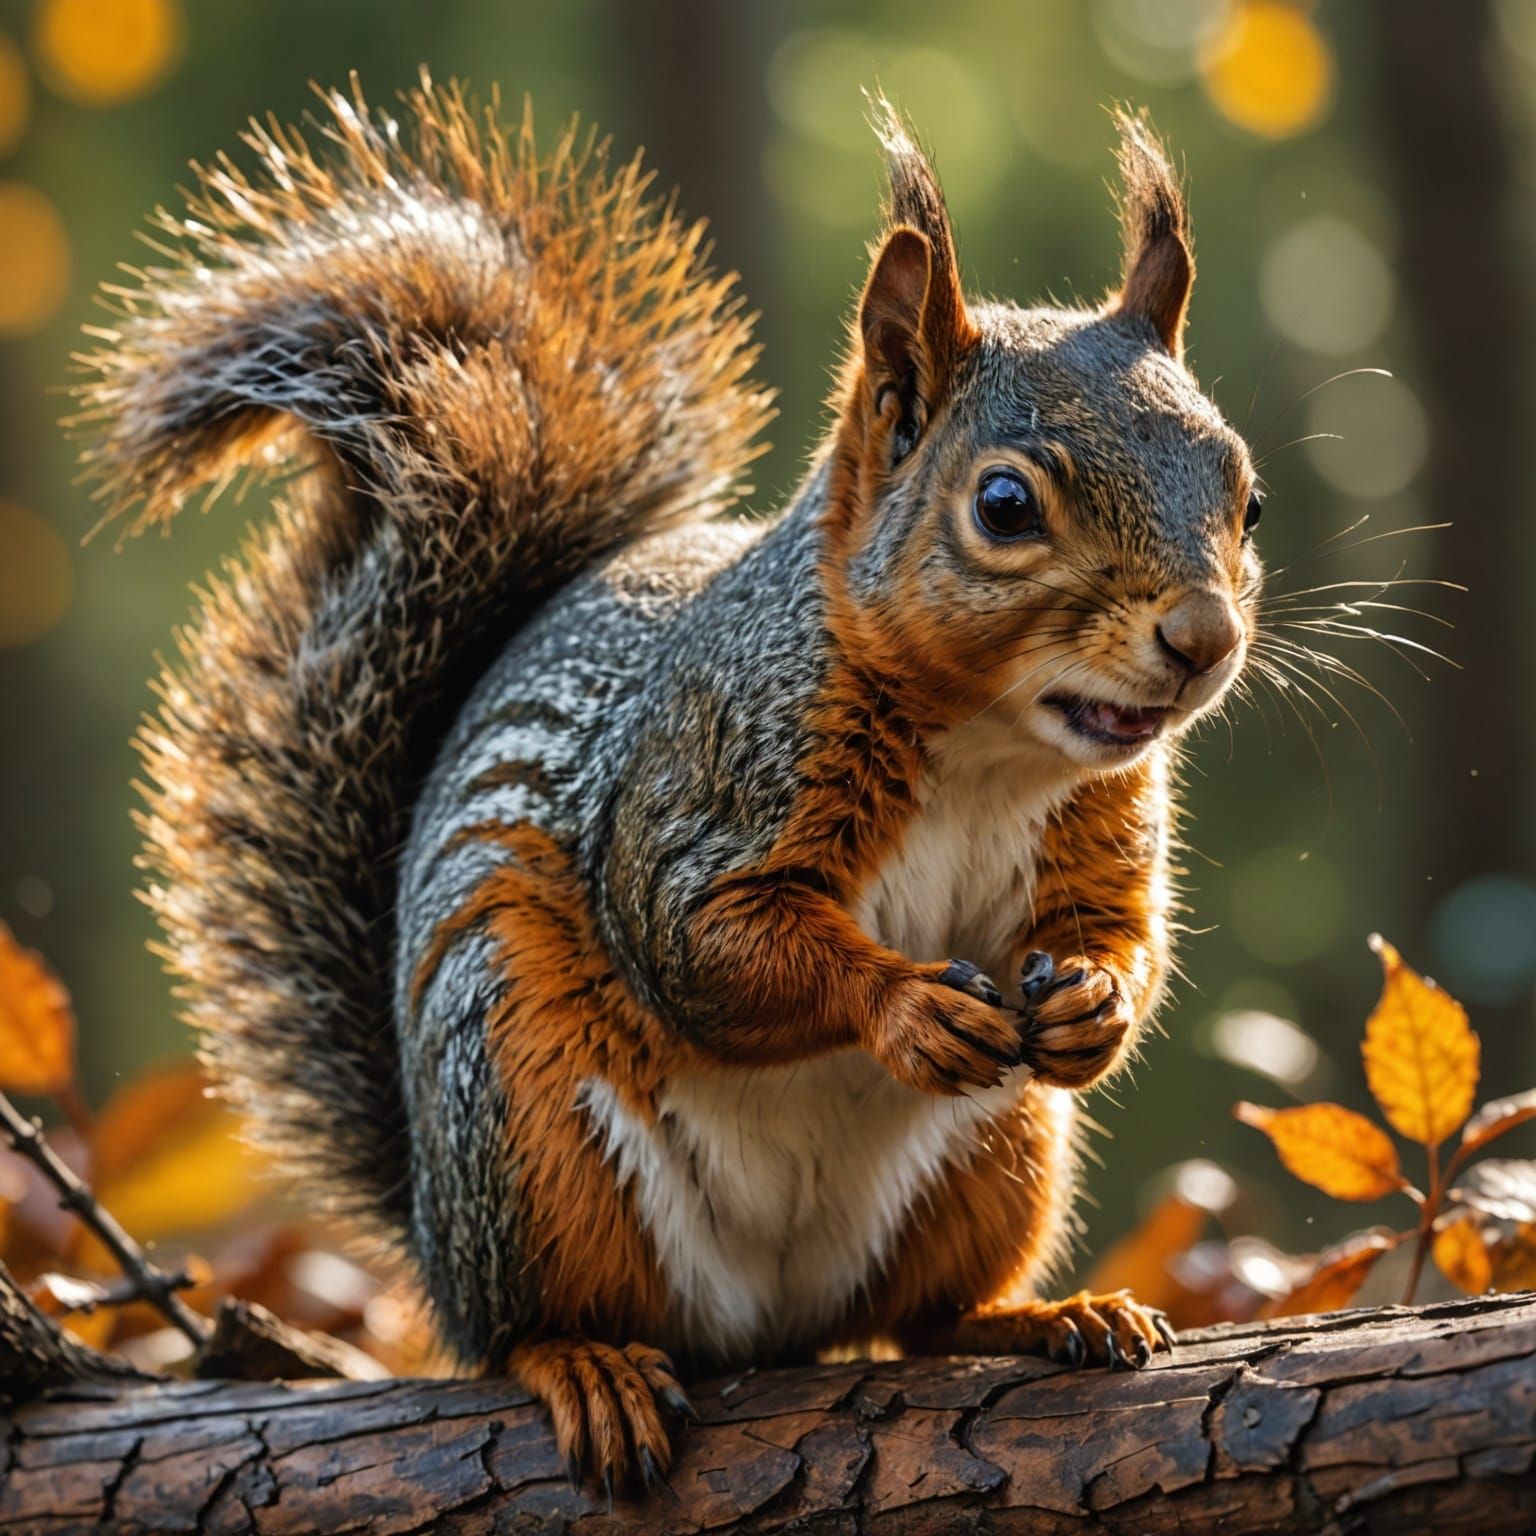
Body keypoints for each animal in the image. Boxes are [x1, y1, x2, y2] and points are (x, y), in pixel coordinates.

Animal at [77, 77, 1260, 1491]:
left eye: (1247, 497)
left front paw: (1093, 1006)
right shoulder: (704, 778)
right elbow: (705, 943)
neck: (988, 744)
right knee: (527, 1324)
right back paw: (583, 1364)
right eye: (1005, 505)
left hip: (998, 1158)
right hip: (525, 1115)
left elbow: (1115, 932)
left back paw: (1037, 1315)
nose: (1203, 638)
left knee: (920, 1321)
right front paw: (905, 1007)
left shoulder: (1096, 824)